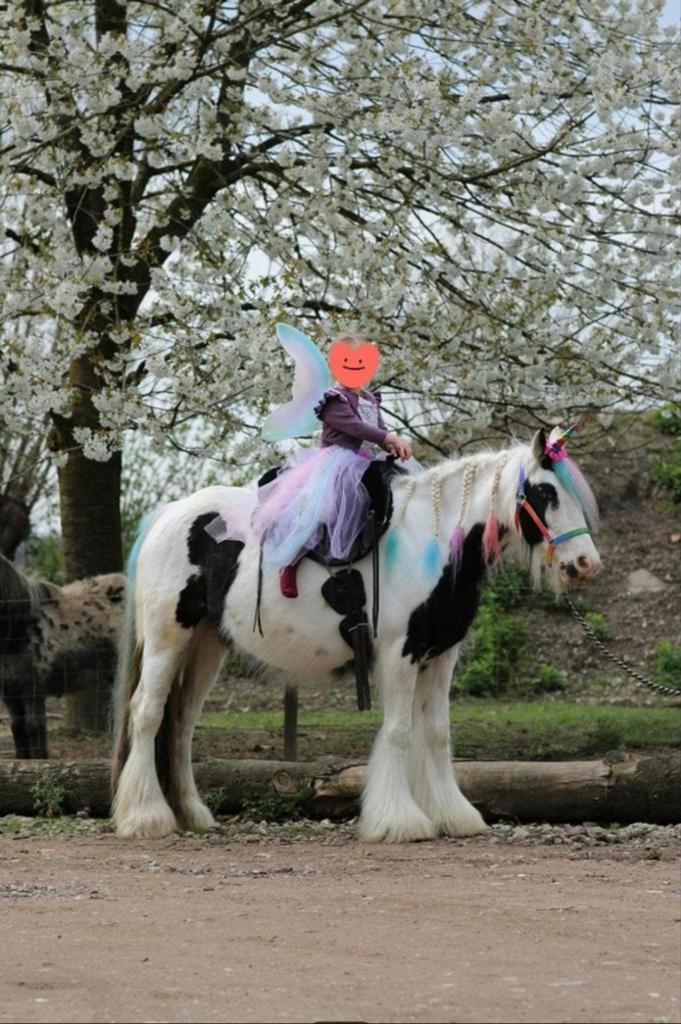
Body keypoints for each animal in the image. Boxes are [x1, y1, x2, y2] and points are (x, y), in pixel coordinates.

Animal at [0, 553, 125, 758]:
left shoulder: (33, 687)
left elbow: (34, 725)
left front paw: (40, 758)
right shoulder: (10, 690)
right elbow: (17, 726)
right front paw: (23, 758)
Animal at [111, 427, 601, 842]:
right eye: (545, 492)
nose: (585, 565)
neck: (429, 543)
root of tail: (169, 514)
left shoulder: (441, 657)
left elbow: (436, 733)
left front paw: (452, 815)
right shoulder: (401, 655)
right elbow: (399, 731)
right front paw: (399, 821)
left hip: (207, 646)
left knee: (181, 723)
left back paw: (192, 814)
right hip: (167, 640)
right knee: (148, 713)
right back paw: (145, 817)